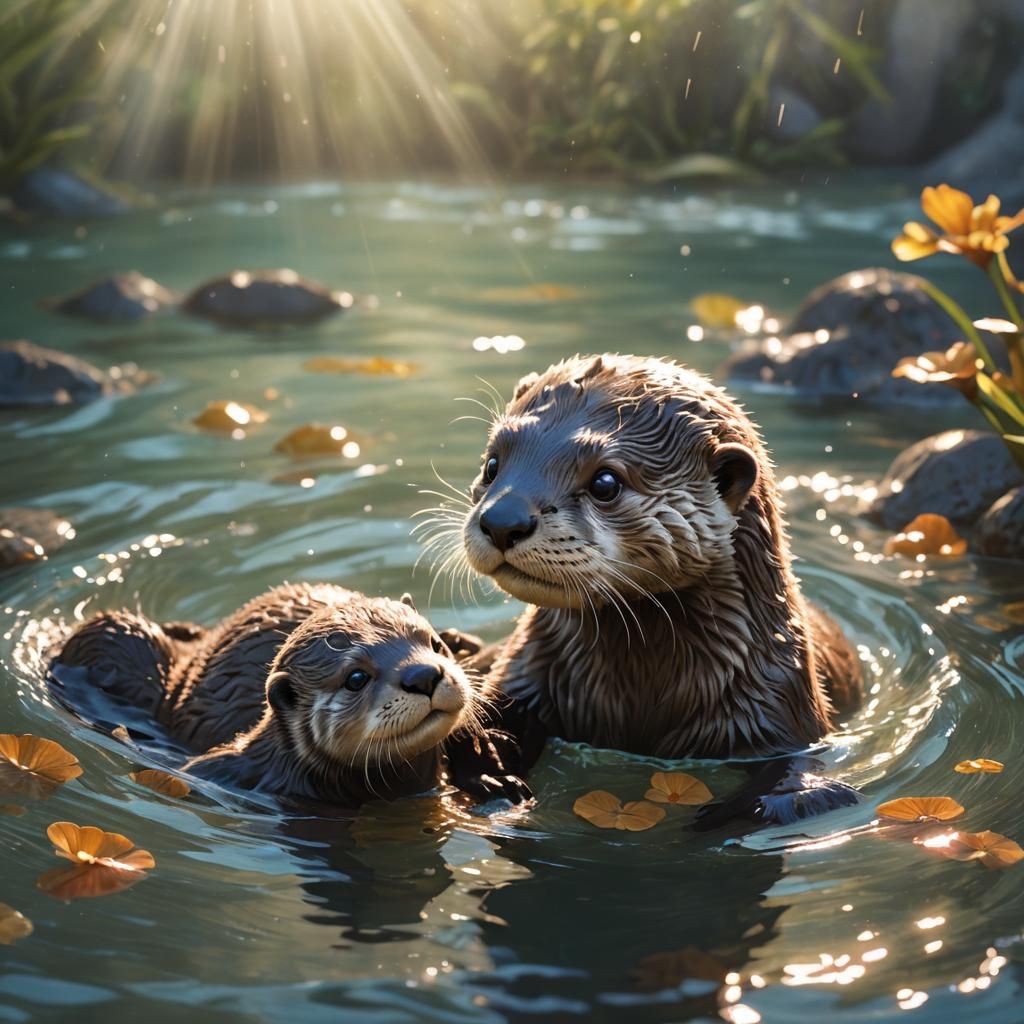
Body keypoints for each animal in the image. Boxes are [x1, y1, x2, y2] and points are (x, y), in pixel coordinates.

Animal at [438, 354, 862, 821]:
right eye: (493, 465)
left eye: (605, 482)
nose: (502, 521)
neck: (635, 700)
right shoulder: (523, 672)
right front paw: (487, 761)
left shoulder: (780, 711)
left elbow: (802, 792)